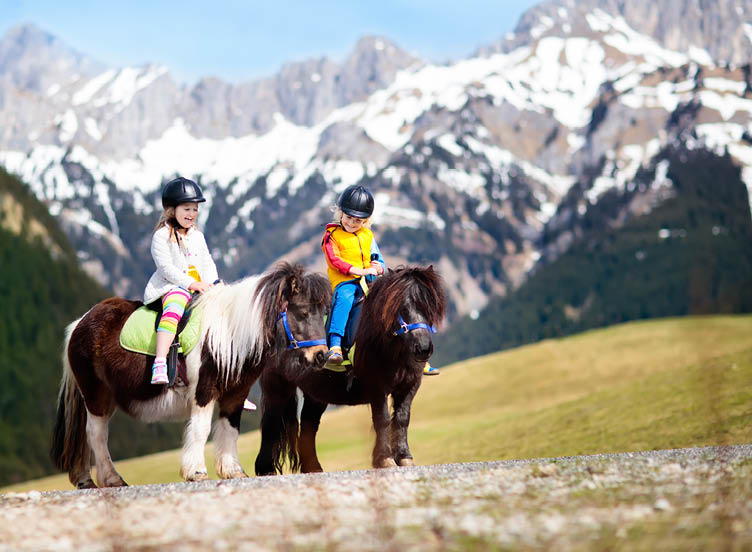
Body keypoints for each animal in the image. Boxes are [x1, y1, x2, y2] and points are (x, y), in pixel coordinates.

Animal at [50, 262, 331, 488]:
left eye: (324, 313)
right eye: (302, 312)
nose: (321, 356)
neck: (226, 335)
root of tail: (79, 324)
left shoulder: (235, 394)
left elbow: (230, 429)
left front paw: (233, 470)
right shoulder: (204, 391)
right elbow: (200, 429)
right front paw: (196, 472)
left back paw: (87, 480)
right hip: (95, 393)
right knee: (96, 434)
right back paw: (112, 479)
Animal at [255, 265, 446, 475]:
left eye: (430, 306)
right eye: (401, 307)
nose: (423, 348)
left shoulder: (410, 385)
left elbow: (402, 419)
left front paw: (404, 457)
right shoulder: (376, 387)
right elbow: (383, 419)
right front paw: (385, 459)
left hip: (317, 393)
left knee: (308, 427)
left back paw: (313, 468)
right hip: (277, 384)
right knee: (271, 422)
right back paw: (266, 468)